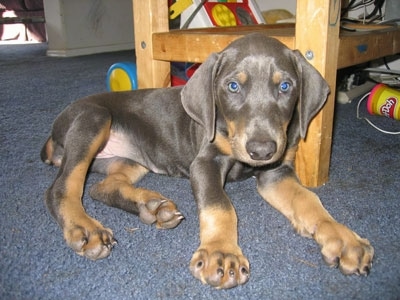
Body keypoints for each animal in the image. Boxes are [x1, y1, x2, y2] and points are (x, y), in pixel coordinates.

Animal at [42, 34, 374, 290]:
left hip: (133, 158)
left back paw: (151, 207)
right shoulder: (205, 162)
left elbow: (309, 199)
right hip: (94, 119)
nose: (262, 150)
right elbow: (220, 205)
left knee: (101, 187)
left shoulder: (276, 173)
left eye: (285, 87)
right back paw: (86, 228)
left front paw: (341, 237)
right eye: (233, 86)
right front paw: (222, 253)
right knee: (62, 188)